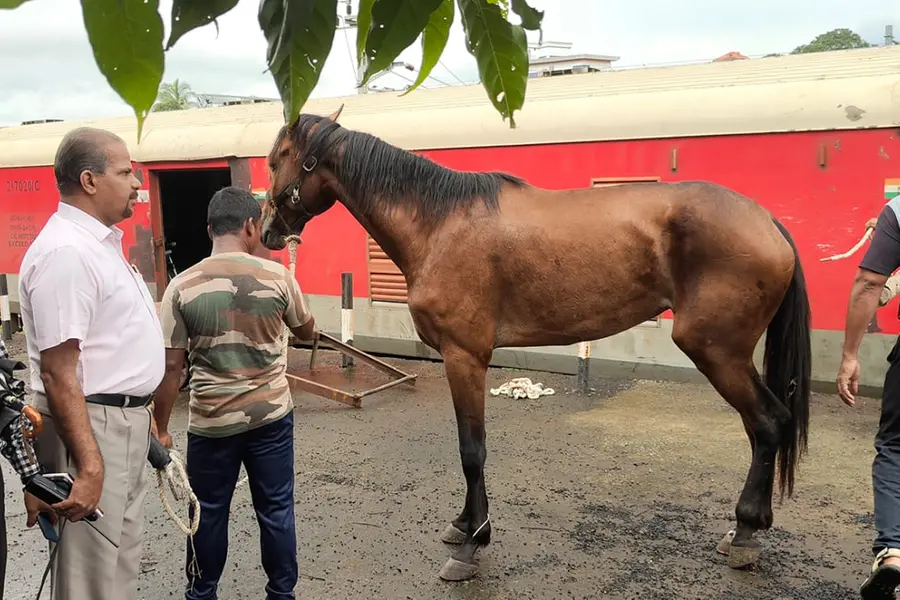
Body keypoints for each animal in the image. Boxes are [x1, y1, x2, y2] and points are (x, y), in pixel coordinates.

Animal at [259, 106, 812, 582]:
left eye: (275, 159)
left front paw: (473, 544)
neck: (440, 224)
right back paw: (744, 529)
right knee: (762, 428)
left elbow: (472, 451)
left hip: (715, 351)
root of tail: (766, 221)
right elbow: (468, 449)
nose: (266, 231)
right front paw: (464, 524)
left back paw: (745, 534)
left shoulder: (465, 358)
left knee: (768, 423)